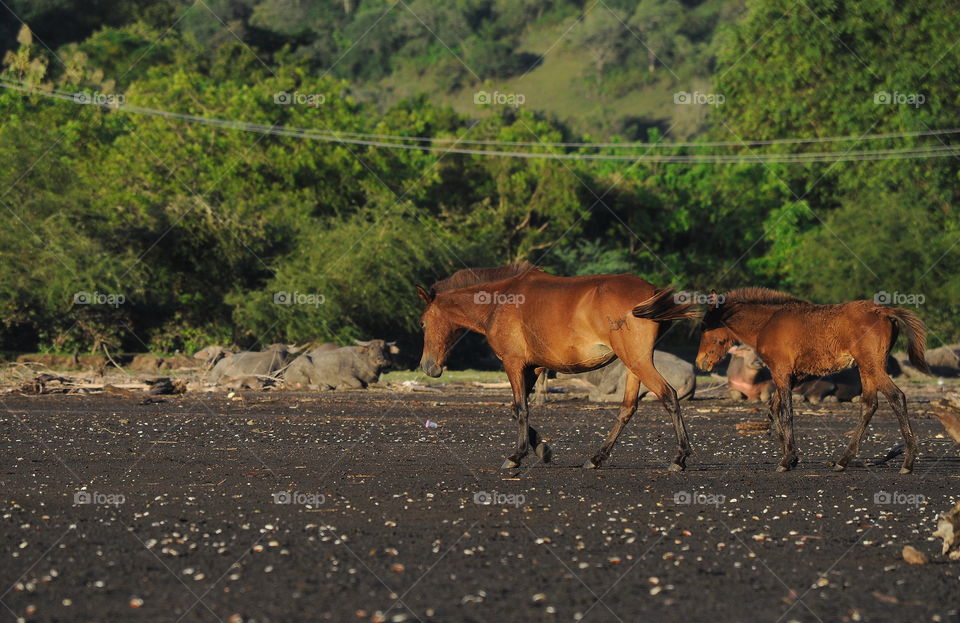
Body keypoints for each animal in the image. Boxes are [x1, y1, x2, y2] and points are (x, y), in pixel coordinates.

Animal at [416, 263, 699, 471]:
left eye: (422, 322)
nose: (428, 367)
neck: (499, 301)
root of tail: (651, 292)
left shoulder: (513, 363)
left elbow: (520, 408)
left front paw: (516, 456)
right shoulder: (532, 368)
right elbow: (517, 409)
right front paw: (542, 449)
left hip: (637, 362)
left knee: (668, 396)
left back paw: (679, 458)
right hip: (634, 366)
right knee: (627, 408)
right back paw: (596, 458)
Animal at [695, 287, 930, 473]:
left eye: (706, 326)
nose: (700, 362)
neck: (767, 323)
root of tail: (884, 311)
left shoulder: (780, 372)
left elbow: (786, 412)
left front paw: (786, 460)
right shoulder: (790, 376)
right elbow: (774, 409)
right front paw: (791, 458)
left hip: (872, 365)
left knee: (896, 397)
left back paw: (908, 462)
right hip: (866, 369)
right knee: (869, 405)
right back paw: (842, 461)